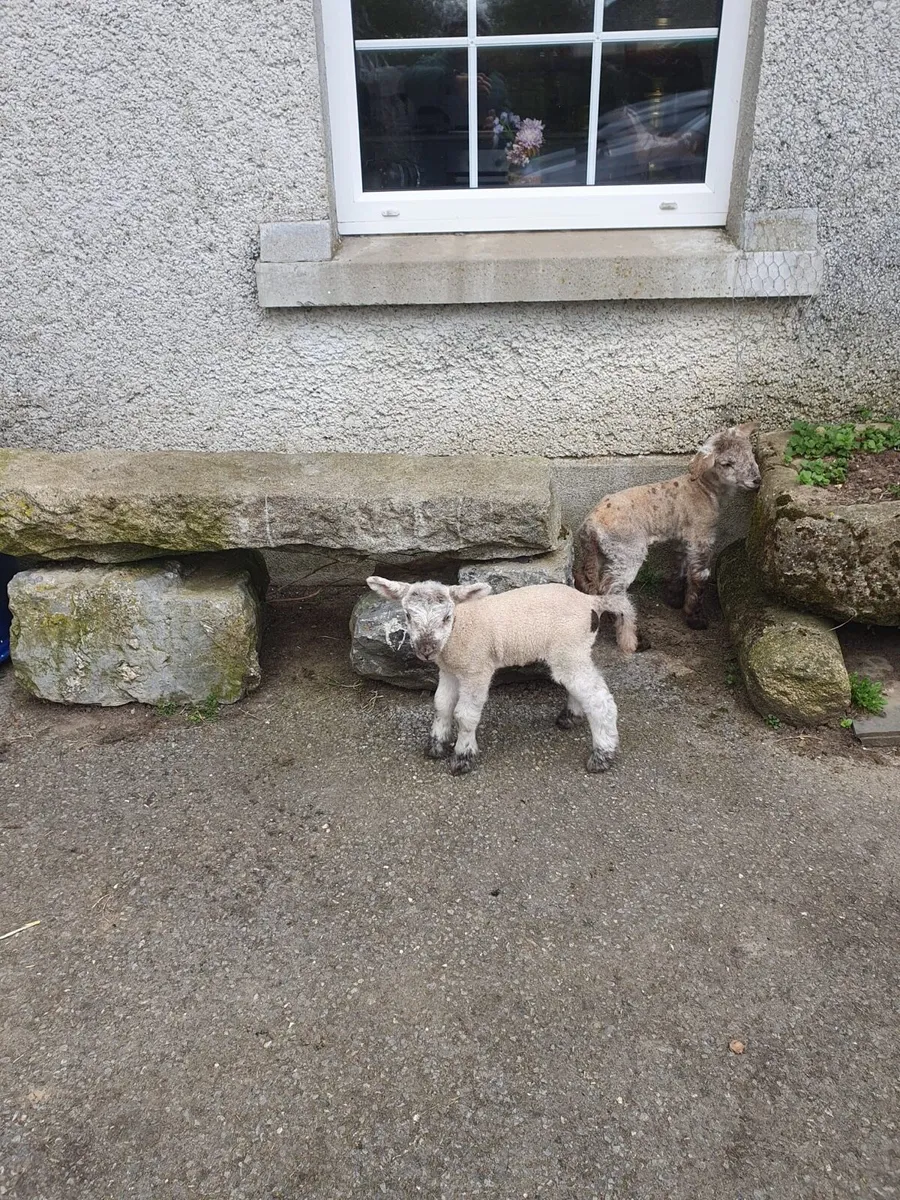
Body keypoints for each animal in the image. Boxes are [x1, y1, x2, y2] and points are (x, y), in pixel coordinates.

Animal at [366, 578, 637, 776]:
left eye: (446, 617)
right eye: (408, 615)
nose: (426, 650)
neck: (458, 630)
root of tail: (591, 600)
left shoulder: (477, 669)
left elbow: (465, 715)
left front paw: (462, 757)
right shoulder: (450, 670)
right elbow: (441, 705)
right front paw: (436, 746)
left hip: (569, 647)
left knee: (599, 698)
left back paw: (602, 755)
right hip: (573, 650)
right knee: (579, 685)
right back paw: (570, 717)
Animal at [574, 423, 761, 630]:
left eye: (750, 453)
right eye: (727, 464)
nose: (757, 480)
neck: (703, 489)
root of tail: (590, 524)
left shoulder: (683, 536)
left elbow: (680, 563)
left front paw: (674, 599)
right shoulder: (702, 536)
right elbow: (699, 577)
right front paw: (695, 618)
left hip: (598, 552)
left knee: (585, 579)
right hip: (627, 551)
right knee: (610, 588)